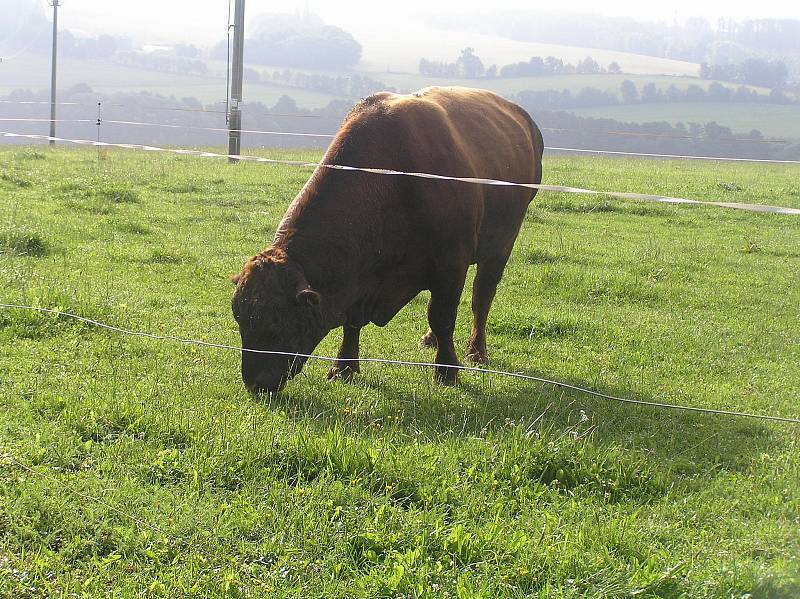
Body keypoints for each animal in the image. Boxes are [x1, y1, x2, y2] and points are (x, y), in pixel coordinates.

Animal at [231, 84, 544, 394]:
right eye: (239, 316)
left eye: (275, 321)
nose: (255, 382)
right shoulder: (359, 277)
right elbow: (352, 322)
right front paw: (344, 367)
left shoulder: (451, 263)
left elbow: (443, 316)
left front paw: (446, 371)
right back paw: (430, 339)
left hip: (502, 244)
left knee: (482, 297)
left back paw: (476, 351)